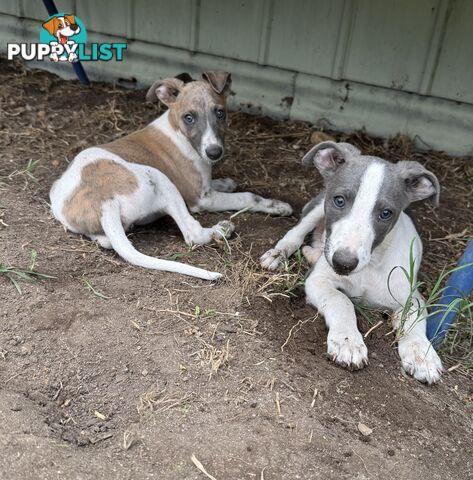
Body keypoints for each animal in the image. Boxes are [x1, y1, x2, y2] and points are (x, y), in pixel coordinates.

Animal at [48, 72, 292, 282]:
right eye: (189, 118)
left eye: (220, 113)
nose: (214, 152)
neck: (178, 131)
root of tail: (103, 203)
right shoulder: (202, 199)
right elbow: (248, 197)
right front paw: (277, 206)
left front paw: (227, 182)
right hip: (160, 179)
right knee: (193, 234)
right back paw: (221, 230)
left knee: (106, 241)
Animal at [262, 141, 442, 384]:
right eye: (339, 200)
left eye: (386, 213)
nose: (343, 263)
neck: (371, 266)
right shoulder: (319, 280)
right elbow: (341, 300)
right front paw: (347, 342)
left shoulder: (411, 298)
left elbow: (414, 324)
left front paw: (422, 354)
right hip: (316, 209)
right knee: (296, 234)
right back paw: (277, 255)